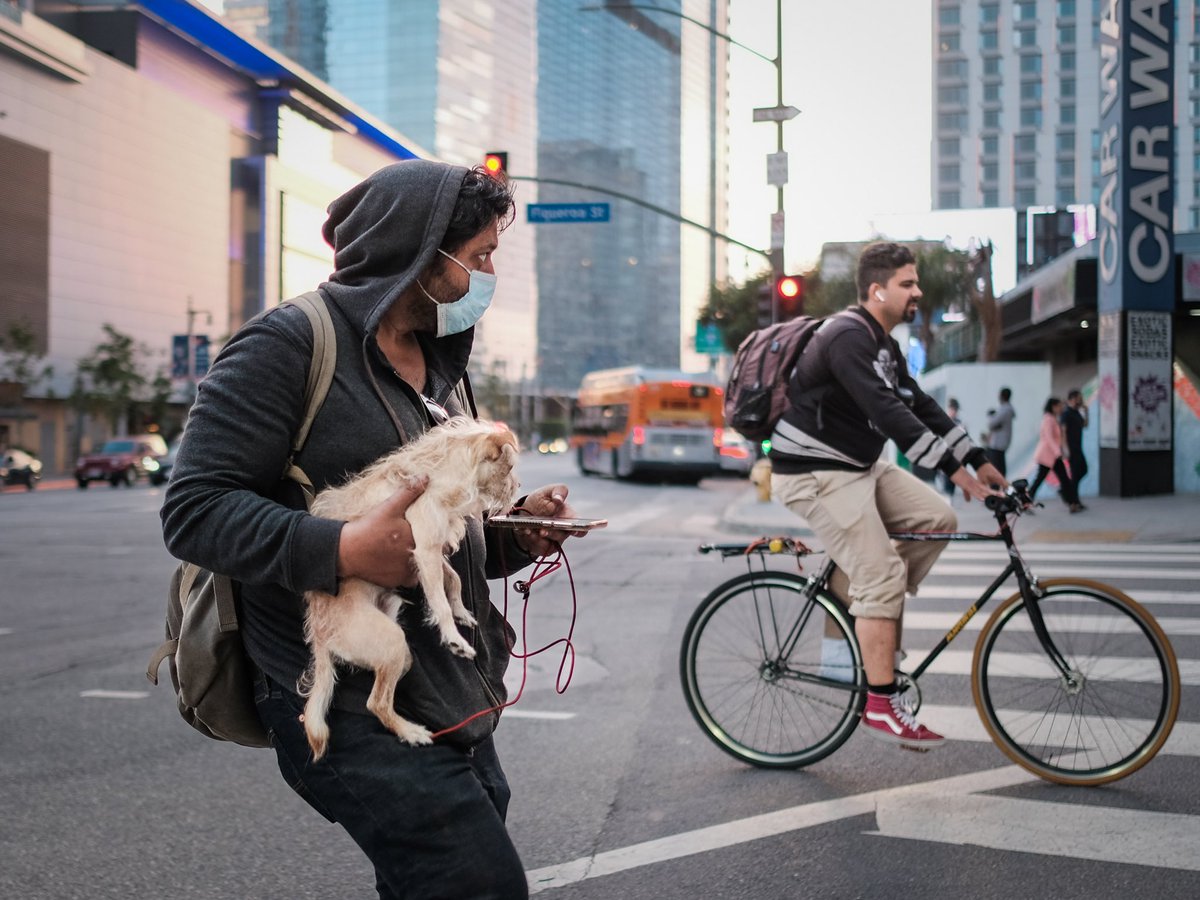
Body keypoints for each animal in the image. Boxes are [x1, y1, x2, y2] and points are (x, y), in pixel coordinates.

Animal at [297, 422, 518, 763]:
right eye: (509, 469)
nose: (517, 489)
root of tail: (321, 637)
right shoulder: (425, 548)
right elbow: (439, 599)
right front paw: (453, 637)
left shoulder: (429, 551)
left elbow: (453, 579)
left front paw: (461, 612)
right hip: (392, 644)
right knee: (376, 703)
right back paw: (411, 732)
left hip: (400, 656)